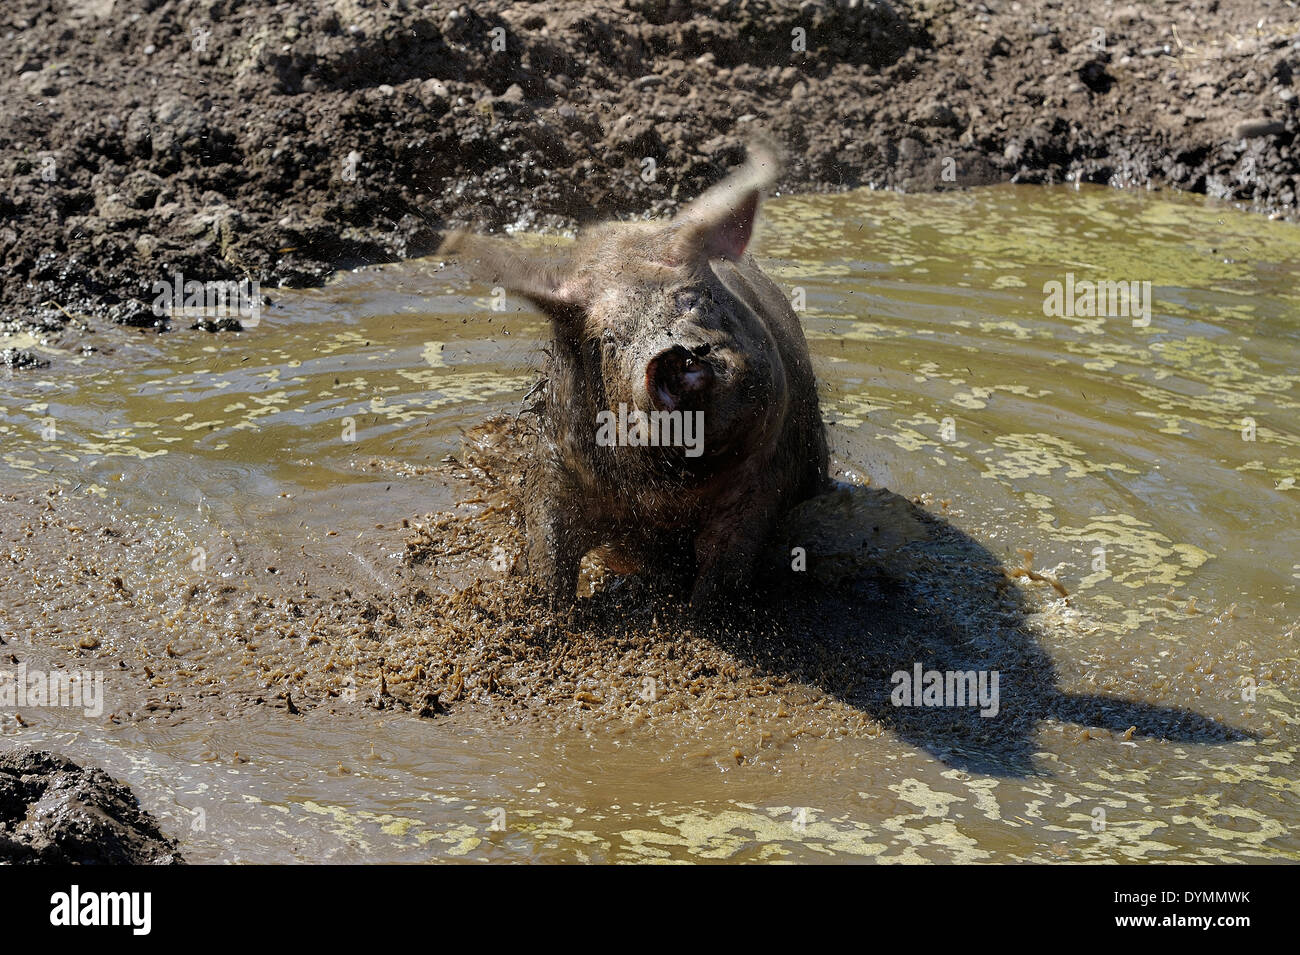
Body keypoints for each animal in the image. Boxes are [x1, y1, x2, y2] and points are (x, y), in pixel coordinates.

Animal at [439, 142, 828, 608]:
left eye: (692, 298)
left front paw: (702, 615)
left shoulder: (766, 478)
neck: (672, 501)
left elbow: (724, 573)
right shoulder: (558, 462)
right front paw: (550, 613)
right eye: (606, 340)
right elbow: (547, 549)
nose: (675, 356)